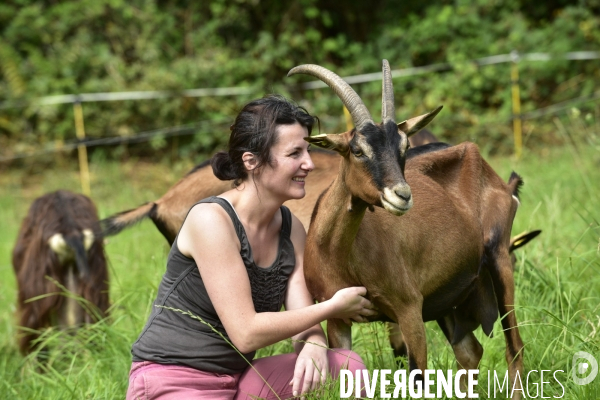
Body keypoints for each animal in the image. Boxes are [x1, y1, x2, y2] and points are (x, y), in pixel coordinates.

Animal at [288, 61, 524, 394]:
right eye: (357, 150)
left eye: (404, 145)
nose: (401, 195)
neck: (338, 255)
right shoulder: (338, 319)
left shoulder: (409, 310)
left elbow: (416, 379)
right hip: (450, 298)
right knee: (469, 352)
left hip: (499, 261)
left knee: (514, 348)